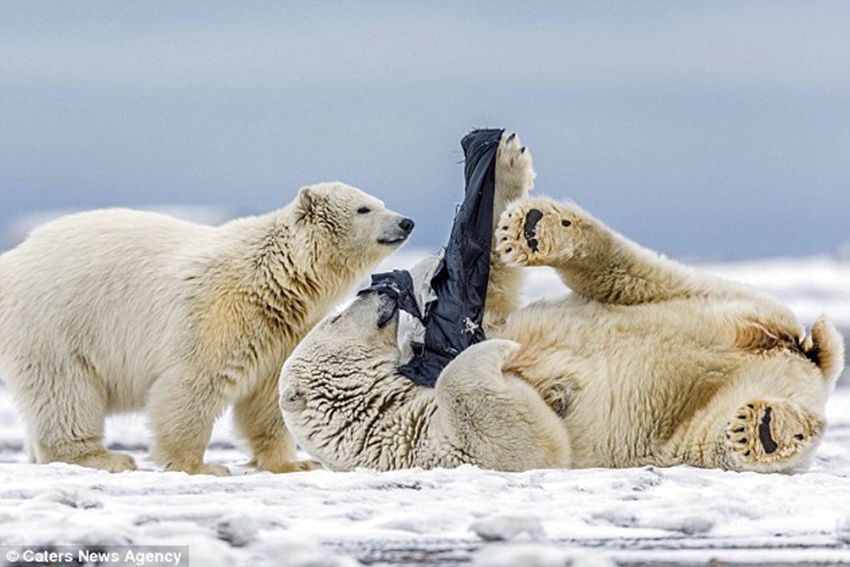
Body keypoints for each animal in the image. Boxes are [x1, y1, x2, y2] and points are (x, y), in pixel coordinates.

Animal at [0, 182, 414, 474]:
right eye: (364, 207)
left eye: (379, 200)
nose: (406, 221)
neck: (274, 274)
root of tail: (12, 259)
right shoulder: (219, 308)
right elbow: (194, 381)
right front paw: (200, 466)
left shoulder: (284, 329)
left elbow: (268, 398)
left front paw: (294, 463)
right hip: (54, 323)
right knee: (65, 391)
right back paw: (103, 458)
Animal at [280, 136, 840, 474]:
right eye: (336, 313)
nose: (377, 290)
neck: (390, 399)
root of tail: (803, 355)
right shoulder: (433, 444)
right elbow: (529, 440)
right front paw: (502, 359)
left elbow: (486, 296)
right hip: (681, 429)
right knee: (715, 434)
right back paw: (765, 430)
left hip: (709, 302)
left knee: (637, 278)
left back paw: (539, 226)